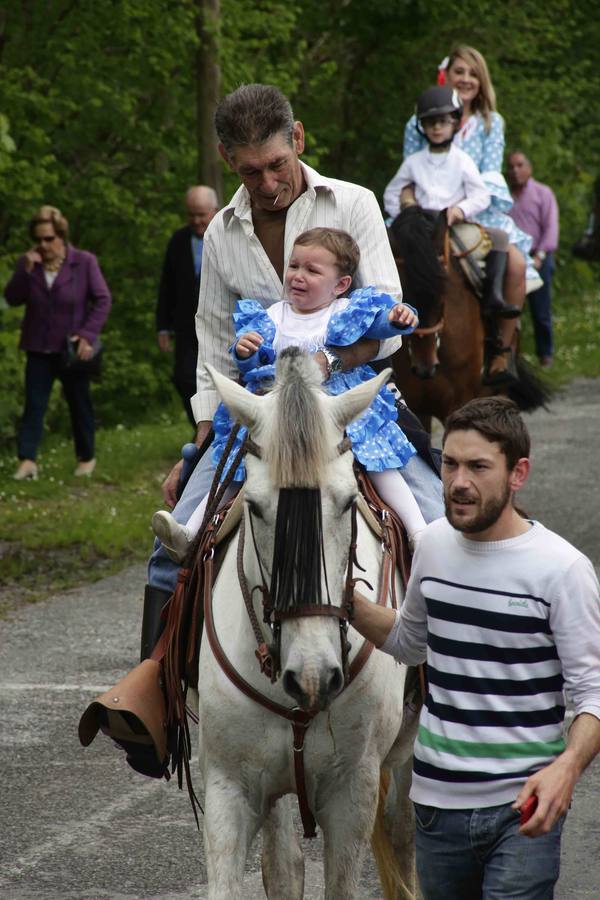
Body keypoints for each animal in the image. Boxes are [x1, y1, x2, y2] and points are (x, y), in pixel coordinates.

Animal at [197, 352, 418, 900]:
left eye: (347, 502)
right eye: (254, 506)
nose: (314, 676)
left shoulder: (352, 791)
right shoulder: (229, 786)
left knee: (403, 833)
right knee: (284, 864)